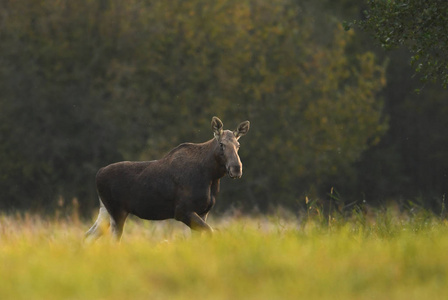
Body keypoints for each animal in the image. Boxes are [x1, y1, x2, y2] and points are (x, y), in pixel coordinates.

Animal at [86, 115, 250, 241]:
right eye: (221, 144)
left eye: (238, 145)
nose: (236, 168)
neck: (211, 176)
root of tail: (98, 173)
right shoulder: (182, 211)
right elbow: (211, 232)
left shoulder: (203, 212)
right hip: (117, 211)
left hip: (105, 210)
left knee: (88, 236)